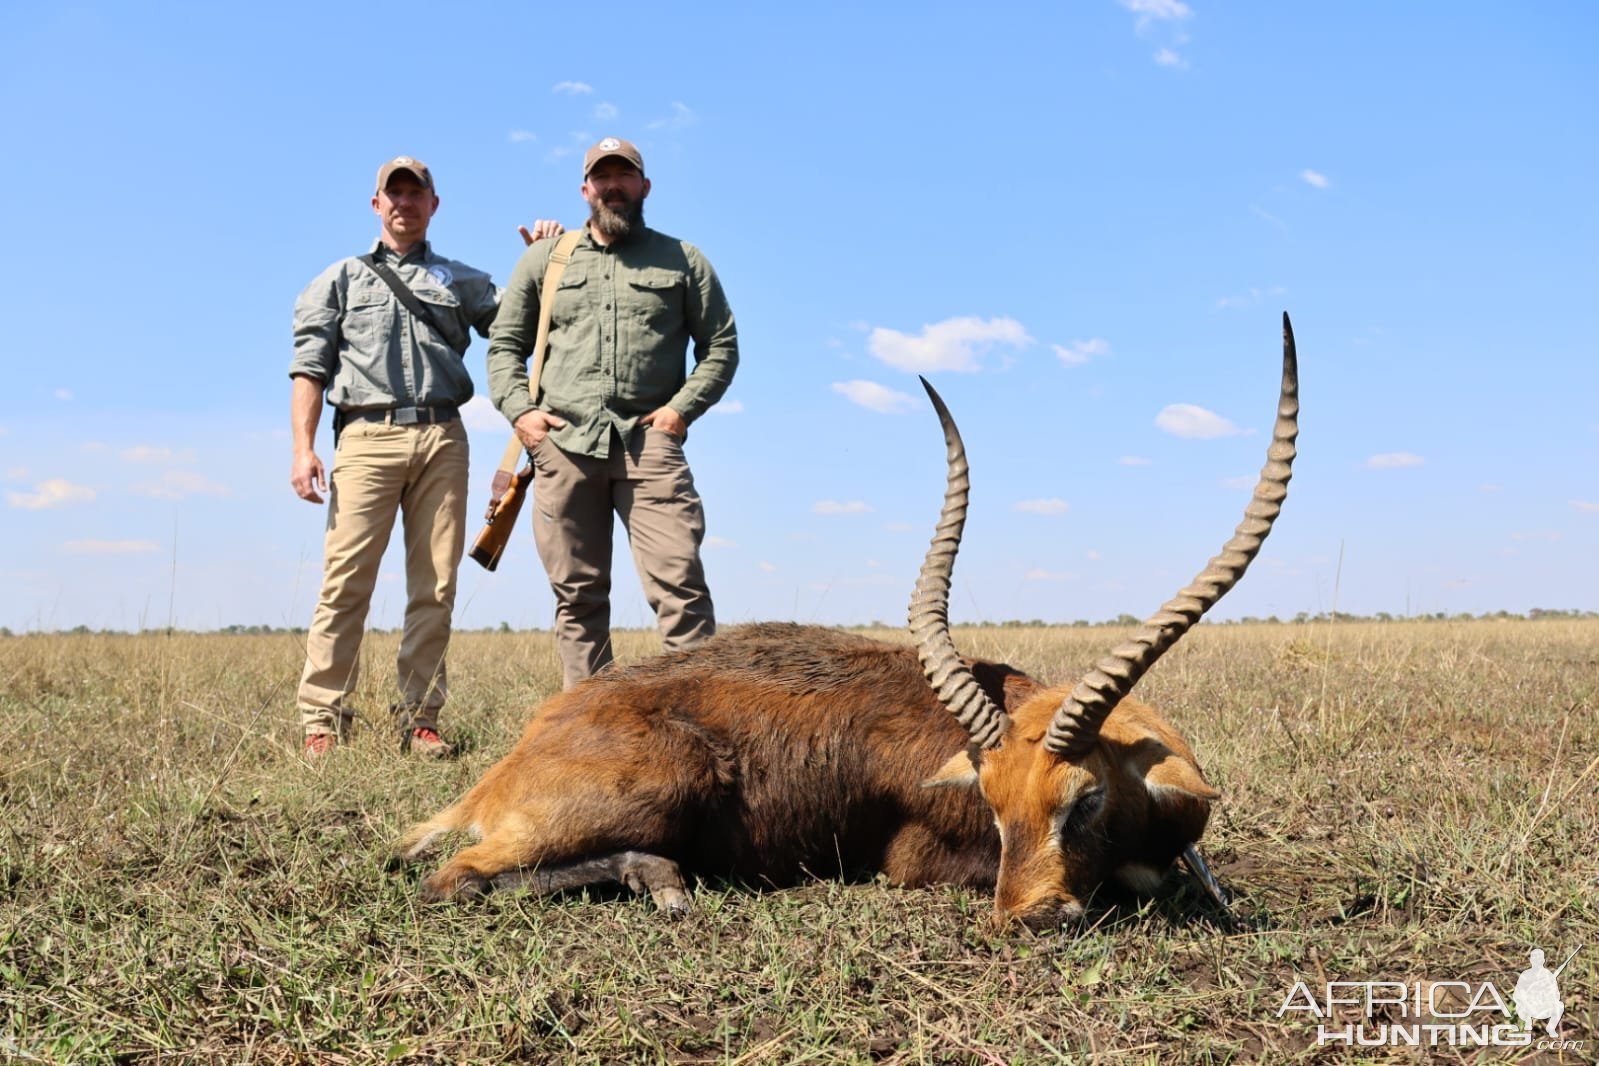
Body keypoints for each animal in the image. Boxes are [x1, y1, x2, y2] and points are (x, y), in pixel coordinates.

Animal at [396, 314, 1298, 926]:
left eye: (1083, 800)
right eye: (992, 803)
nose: (1028, 917)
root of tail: (515, 757)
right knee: (453, 878)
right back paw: (664, 883)